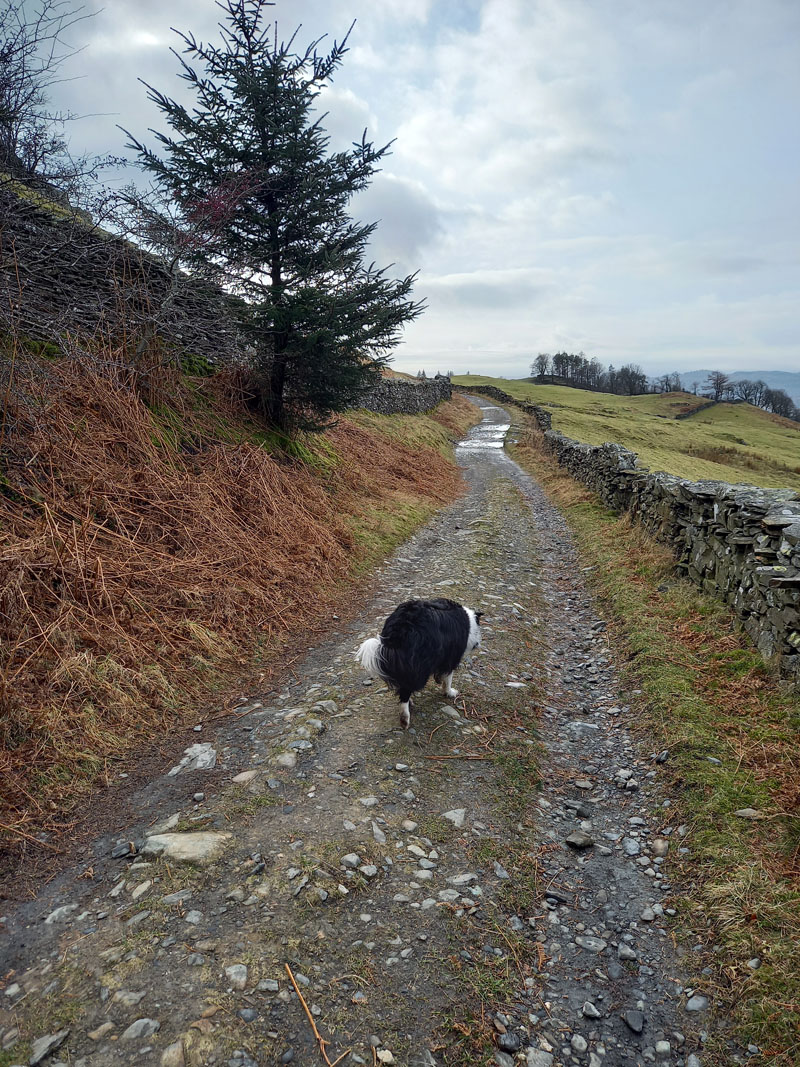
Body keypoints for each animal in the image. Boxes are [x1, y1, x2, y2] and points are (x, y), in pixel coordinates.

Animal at [356, 597, 482, 729]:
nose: (478, 644)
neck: (469, 623)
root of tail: (399, 629)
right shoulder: (451, 657)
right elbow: (448, 679)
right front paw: (450, 692)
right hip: (419, 666)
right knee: (406, 691)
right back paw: (405, 718)